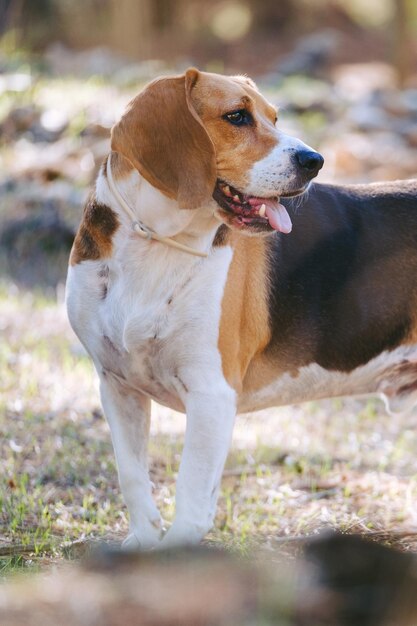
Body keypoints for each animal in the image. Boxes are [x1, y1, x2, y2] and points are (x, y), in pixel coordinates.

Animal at [65, 67, 416, 544]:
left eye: (274, 117)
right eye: (237, 116)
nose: (315, 160)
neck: (156, 243)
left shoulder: (211, 394)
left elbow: (191, 498)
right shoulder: (117, 386)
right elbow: (133, 478)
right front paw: (143, 543)